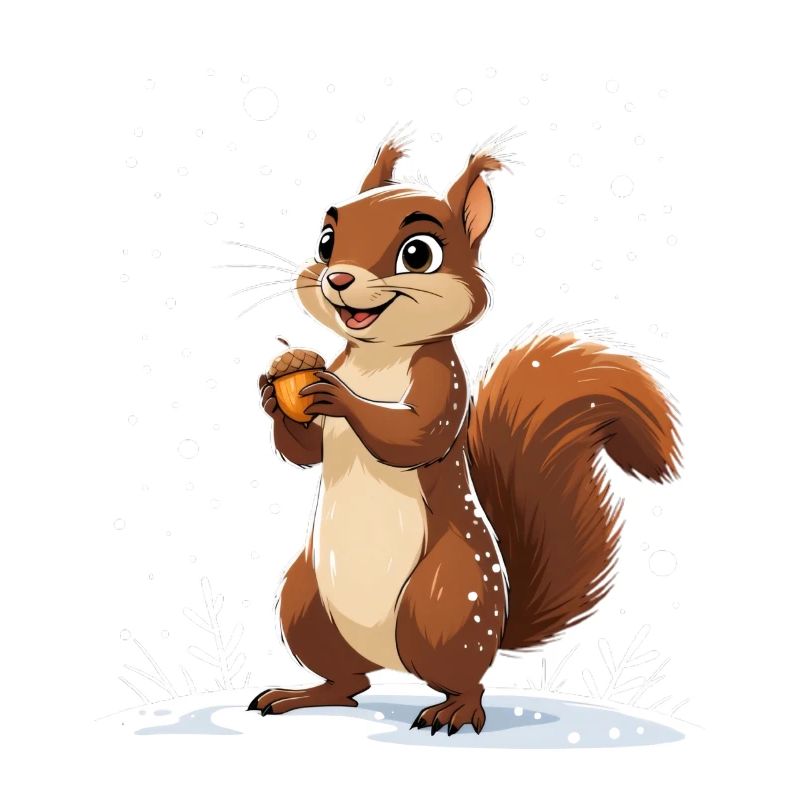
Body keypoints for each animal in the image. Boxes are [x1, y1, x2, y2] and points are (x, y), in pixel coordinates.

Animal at [247, 133, 681, 735]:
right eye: (326, 240)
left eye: (418, 253)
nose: (337, 279)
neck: (378, 356)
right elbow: (307, 451)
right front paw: (274, 398)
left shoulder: (444, 382)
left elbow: (416, 433)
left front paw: (339, 395)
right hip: (304, 605)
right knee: (349, 683)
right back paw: (301, 694)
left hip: (446, 604)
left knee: (462, 679)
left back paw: (452, 710)